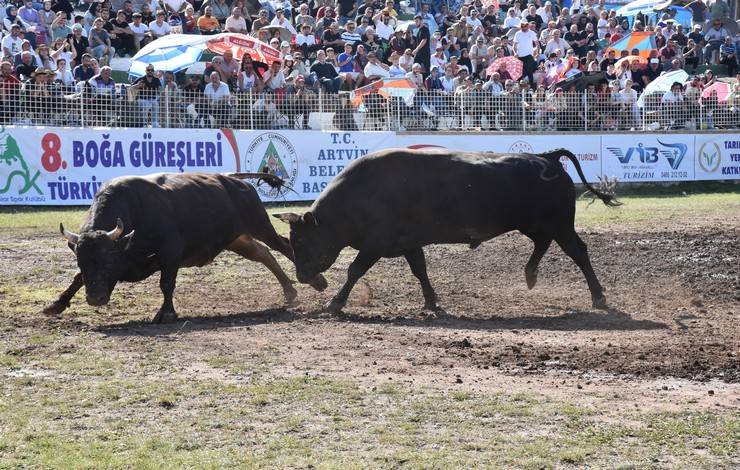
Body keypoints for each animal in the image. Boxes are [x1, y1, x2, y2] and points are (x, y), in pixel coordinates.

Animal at [42, 173, 326, 324]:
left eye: (109, 261)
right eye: (82, 262)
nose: (95, 298)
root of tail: (235, 180)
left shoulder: (170, 252)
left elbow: (166, 283)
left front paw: (166, 313)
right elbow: (76, 279)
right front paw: (56, 304)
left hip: (259, 225)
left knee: (283, 246)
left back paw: (316, 281)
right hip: (238, 239)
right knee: (264, 254)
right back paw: (290, 291)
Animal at [276, 149, 620, 312]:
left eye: (302, 241)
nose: (302, 277)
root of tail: (547, 159)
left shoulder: (375, 244)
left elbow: (354, 270)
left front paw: (336, 302)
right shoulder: (408, 243)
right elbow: (420, 270)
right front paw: (431, 301)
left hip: (559, 225)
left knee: (578, 252)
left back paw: (598, 296)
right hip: (535, 225)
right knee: (542, 244)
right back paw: (530, 275)